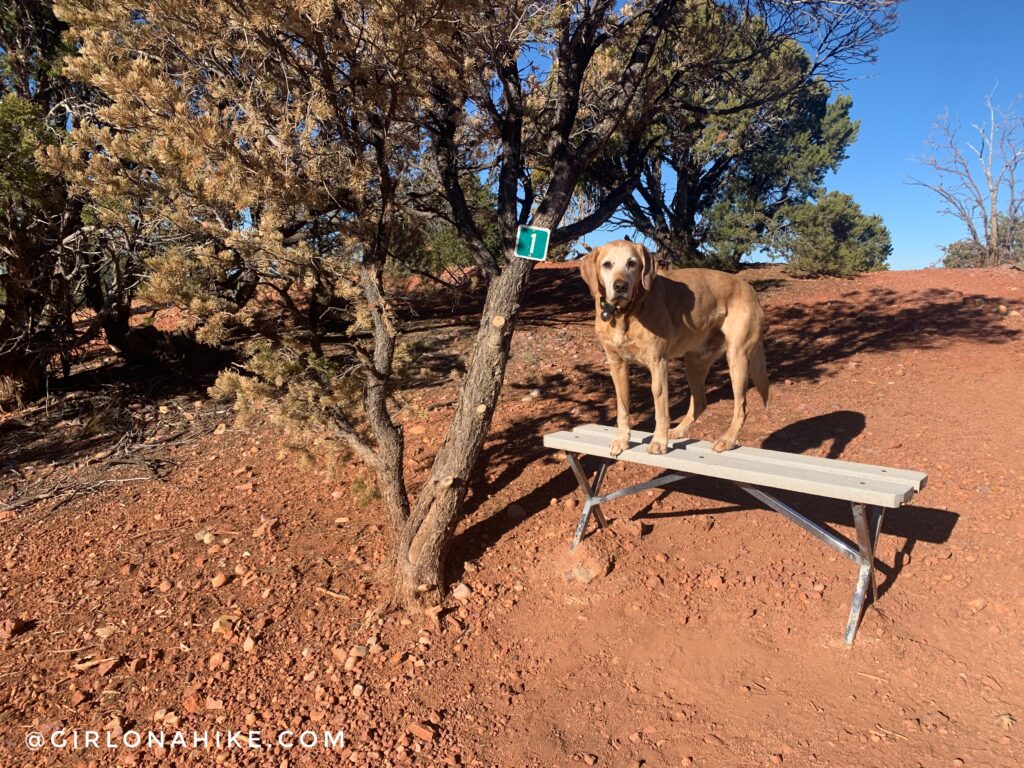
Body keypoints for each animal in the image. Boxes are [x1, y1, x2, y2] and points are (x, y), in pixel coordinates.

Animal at [581, 240, 770, 456]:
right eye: (607, 264)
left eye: (632, 263)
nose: (620, 286)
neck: (624, 314)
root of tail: (751, 290)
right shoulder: (616, 363)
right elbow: (622, 406)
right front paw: (621, 439)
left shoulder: (658, 362)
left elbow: (660, 406)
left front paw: (659, 441)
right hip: (694, 362)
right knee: (700, 402)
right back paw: (678, 431)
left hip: (737, 357)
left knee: (742, 407)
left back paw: (727, 440)